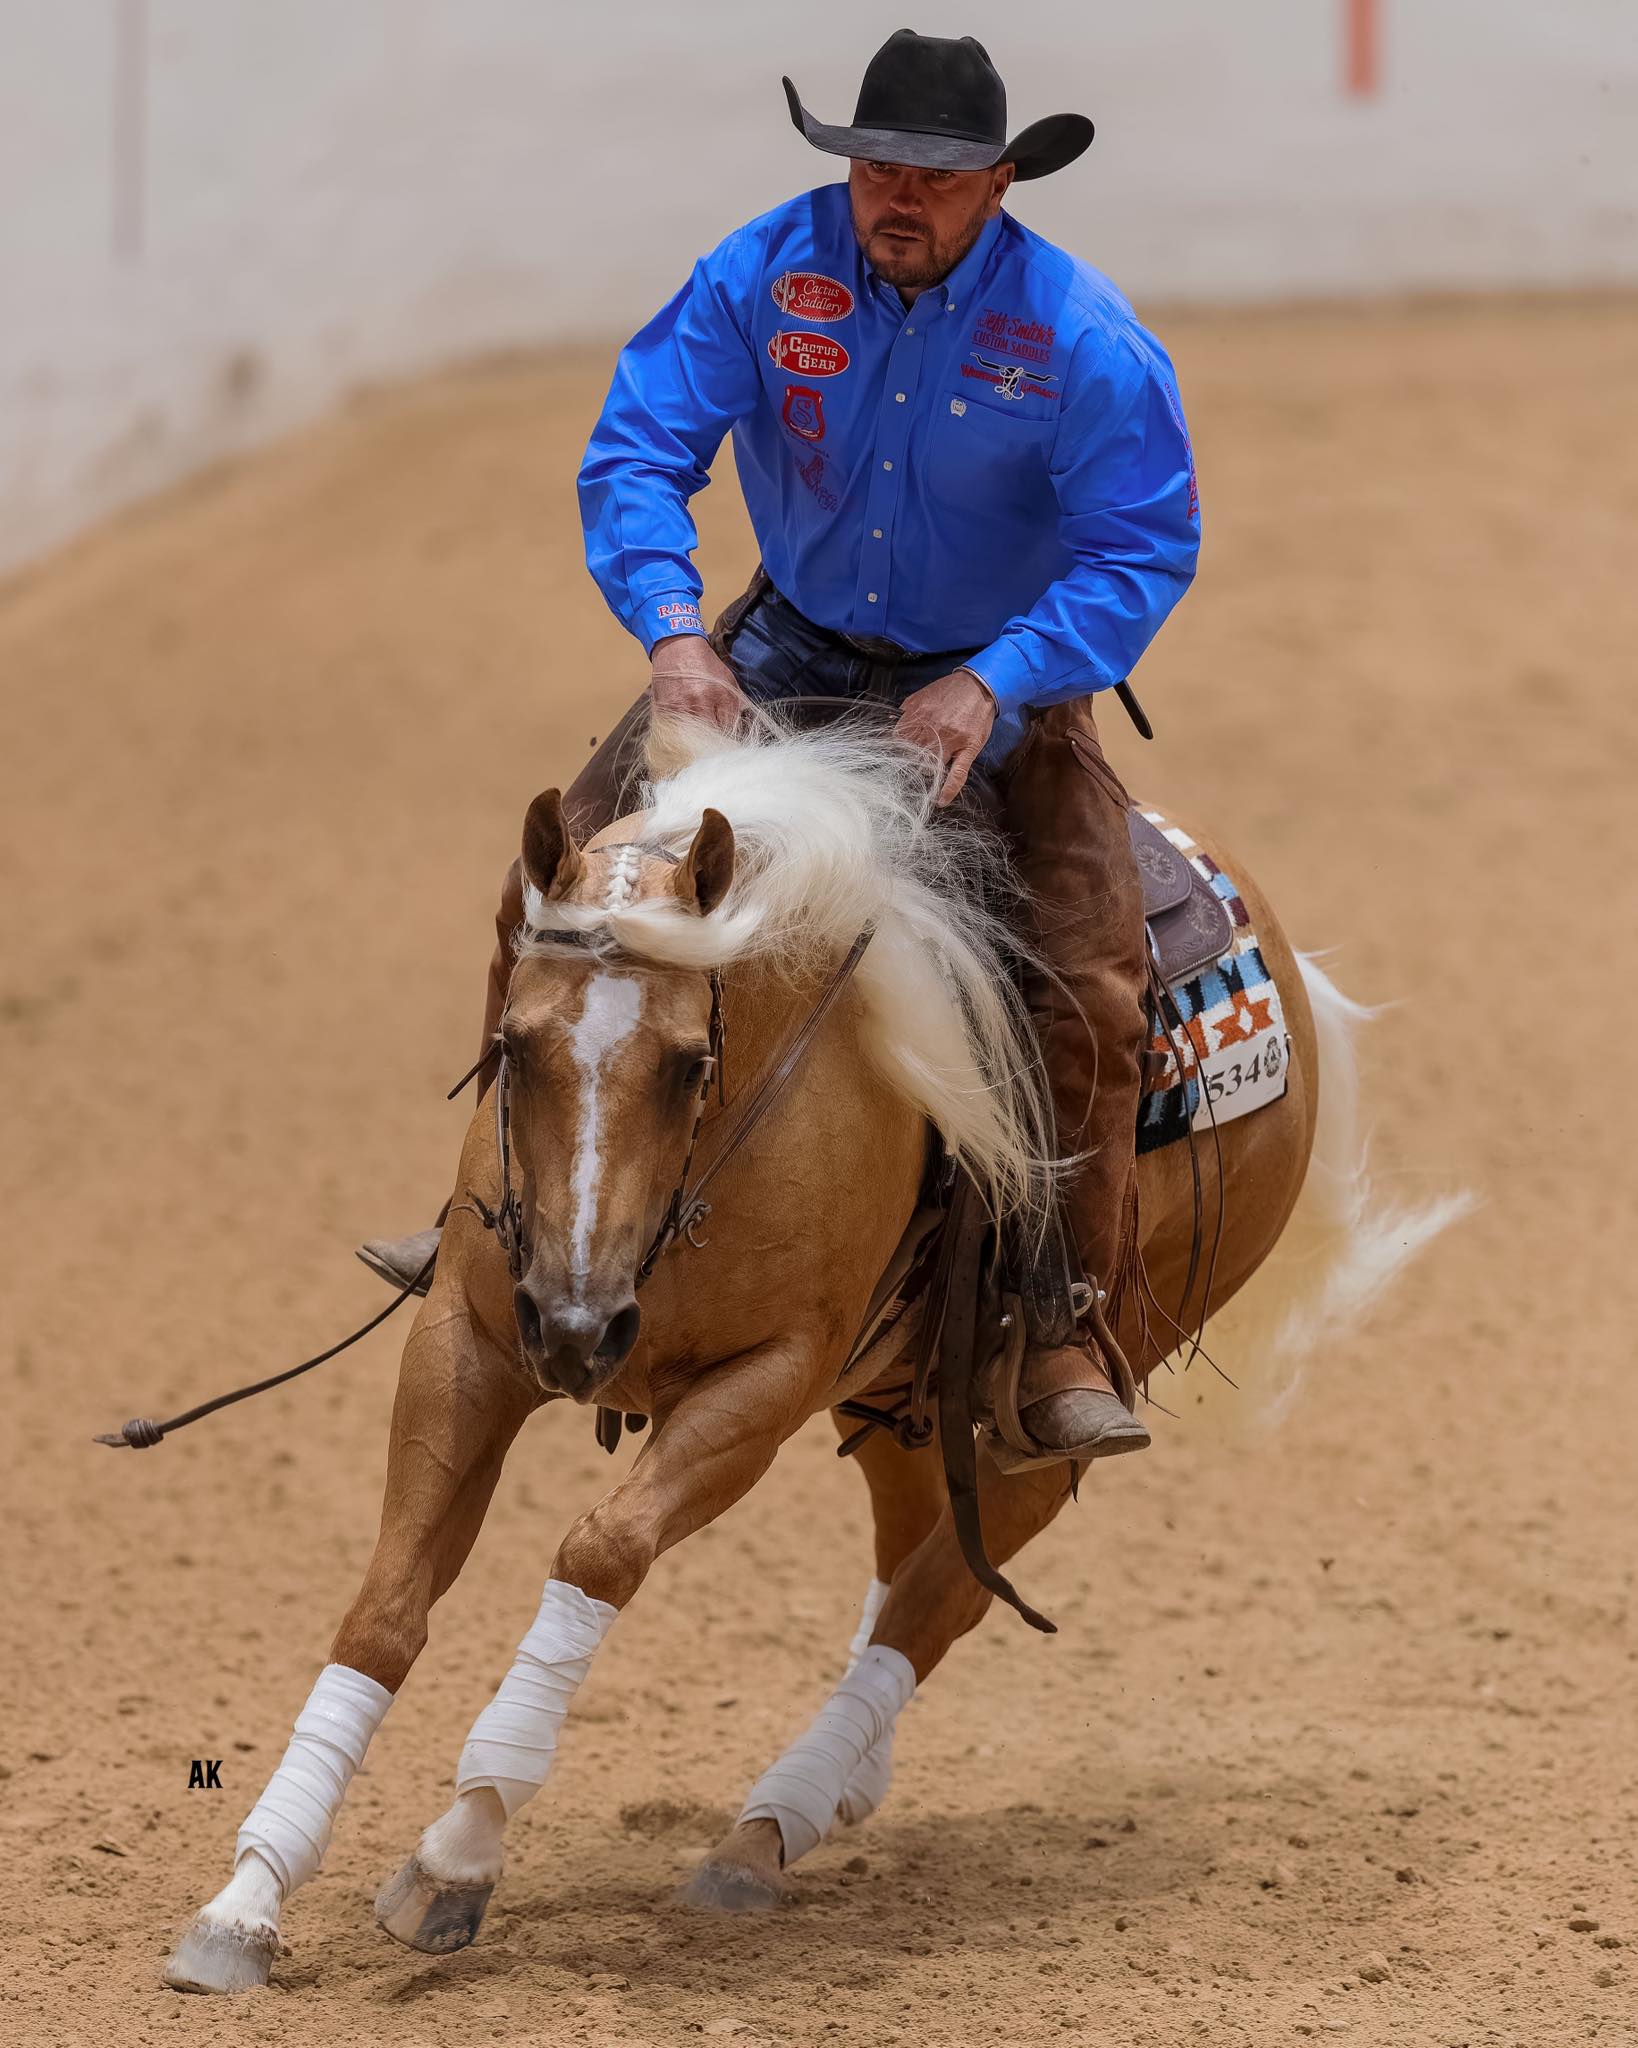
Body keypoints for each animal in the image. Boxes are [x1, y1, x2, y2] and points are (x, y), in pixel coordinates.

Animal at [162, 708, 1451, 1994]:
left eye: (689, 1060)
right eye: (515, 1047)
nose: (578, 1329)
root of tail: (1286, 966)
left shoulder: (764, 1383)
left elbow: (599, 1550)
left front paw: (458, 1850)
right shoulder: (470, 1340)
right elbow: (386, 1606)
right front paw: (245, 1900)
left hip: (1050, 1399)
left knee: (940, 1593)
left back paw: (768, 1824)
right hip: (902, 1383)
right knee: (907, 1539)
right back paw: (841, 1786)